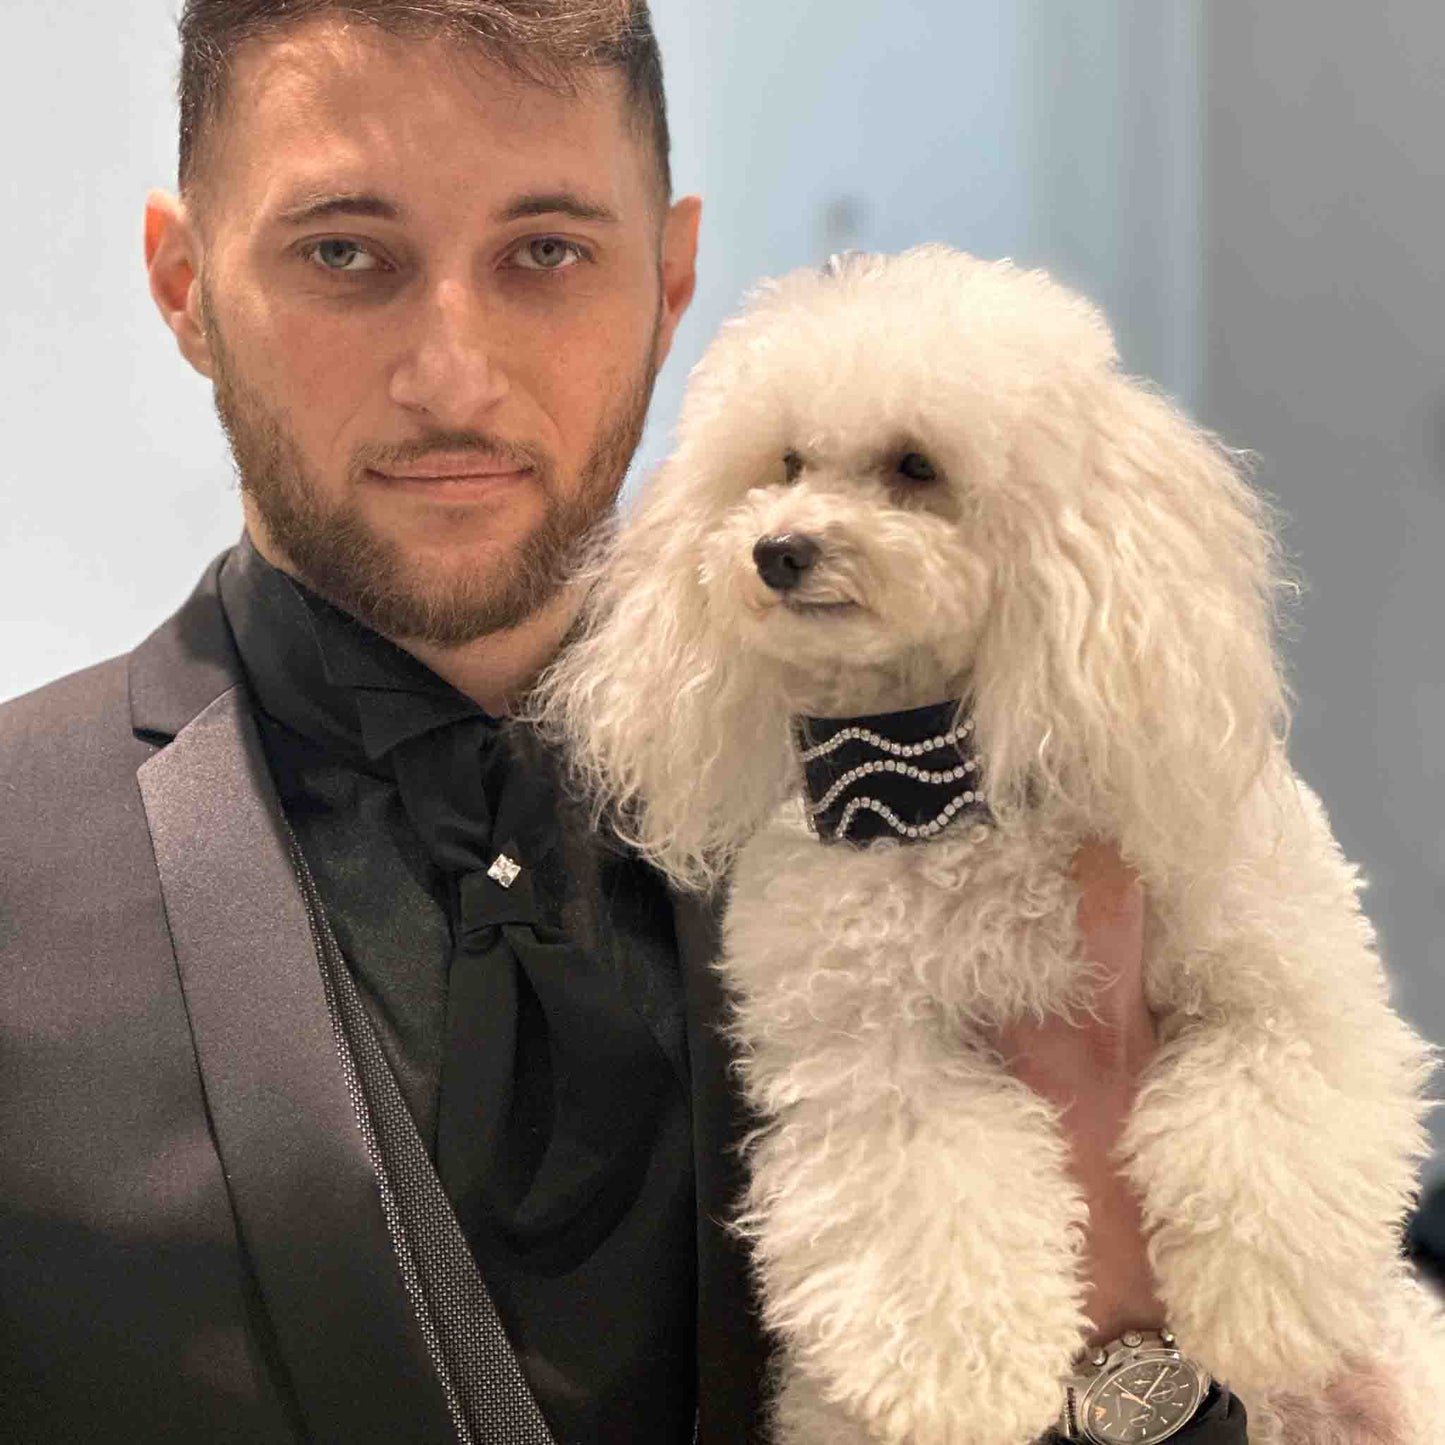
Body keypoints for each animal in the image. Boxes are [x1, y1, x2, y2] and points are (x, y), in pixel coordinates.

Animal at [534, 248, 1445, 1445]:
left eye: (915, 465)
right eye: (782, 465)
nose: (776, 549)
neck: (931, 780)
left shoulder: (1285, 975)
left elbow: (1268, 1115)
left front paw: (1260, 1311)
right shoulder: (878, 1059)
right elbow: (930, 1202)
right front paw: (960, 1381)